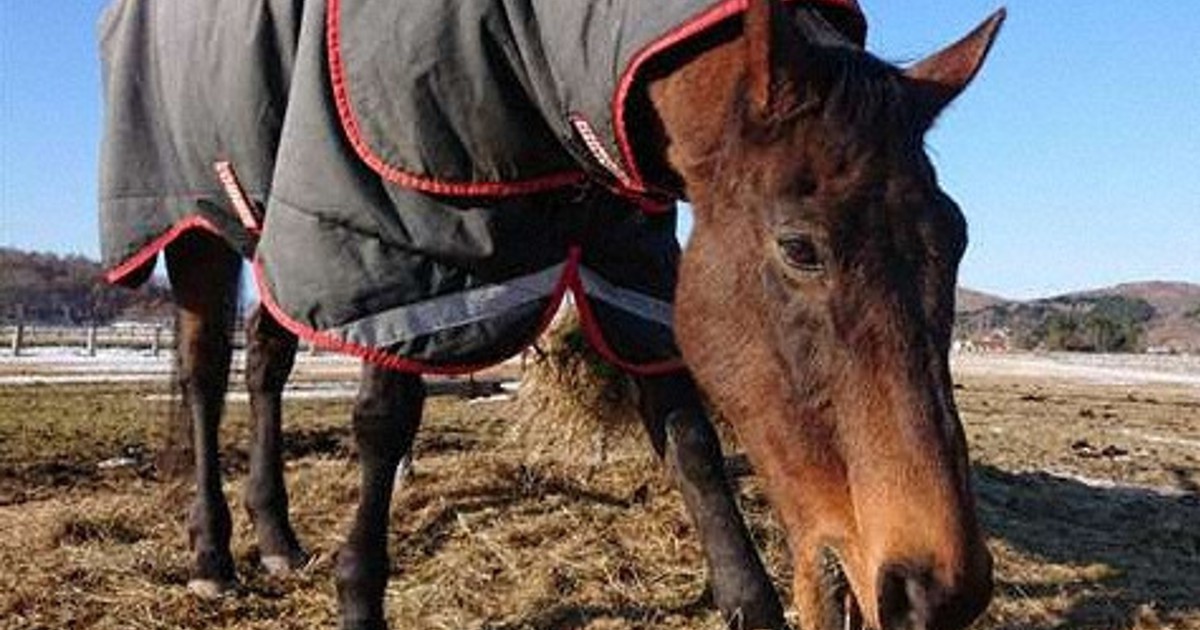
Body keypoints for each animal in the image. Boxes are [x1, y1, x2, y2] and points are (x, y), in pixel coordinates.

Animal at [97, 0, 1004, 628]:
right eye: (801, 248)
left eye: (957, 236)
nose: (935, 591)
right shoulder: (399, 229)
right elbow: (385, 418)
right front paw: (358, 595)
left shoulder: (627, 256)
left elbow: (687, 436)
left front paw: (748, 599)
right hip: (206, 226)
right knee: (205, 373)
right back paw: (214, 552)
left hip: (278, 229)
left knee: (265, 363)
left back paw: (280, 540)